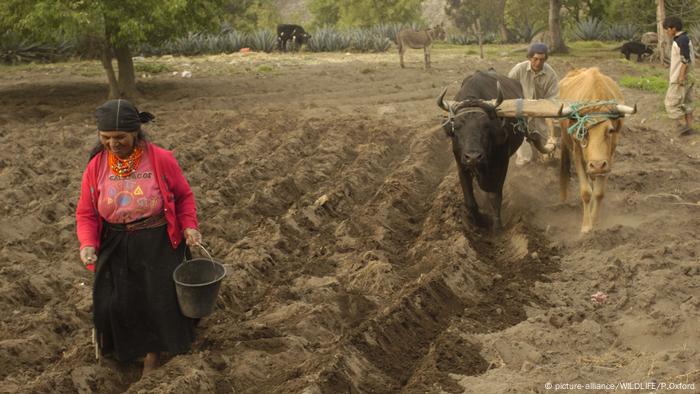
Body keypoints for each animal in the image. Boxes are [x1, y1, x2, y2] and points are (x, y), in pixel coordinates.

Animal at [438, 71, 524, 231]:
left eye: (485, 126)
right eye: (457, 127)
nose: (473, 157)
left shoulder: (501, 164)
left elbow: (494, 195)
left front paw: (496, 226)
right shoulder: (461, 165)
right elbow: (470, 201)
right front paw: (479, 222)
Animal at [556, 67, 636, 232]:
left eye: (610, 130)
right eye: (583, 131)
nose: (597, 165)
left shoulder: (609, 158)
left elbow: (598, 193)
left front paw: (595, 222)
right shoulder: (577, 154)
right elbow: (586, 192)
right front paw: (586, 226)